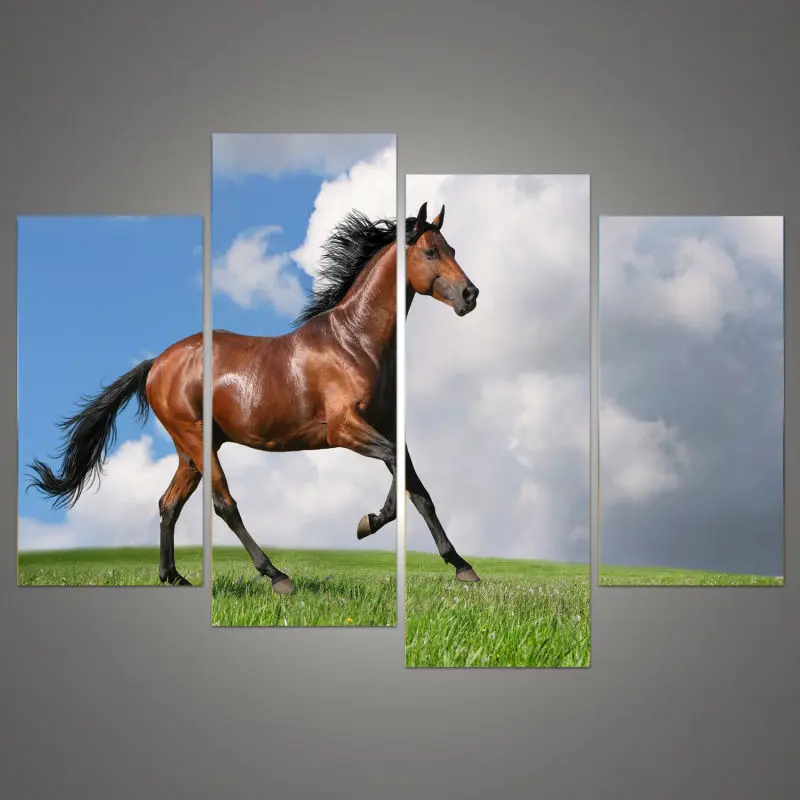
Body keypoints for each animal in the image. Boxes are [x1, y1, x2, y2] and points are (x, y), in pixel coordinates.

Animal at [27, 202, 480, 593]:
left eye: (453, 249)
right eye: (430, 251)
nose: (470, 294)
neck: (355, 342)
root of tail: (157, 363)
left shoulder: (387, 425)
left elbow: (417, 488)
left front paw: (462, 566)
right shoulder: (343, 428)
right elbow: (396, 472)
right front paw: (367, 522)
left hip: (192, 450)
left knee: (168, 503)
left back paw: (174, 577)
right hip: (196, 440)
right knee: (224, 504)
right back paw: (277, 576)